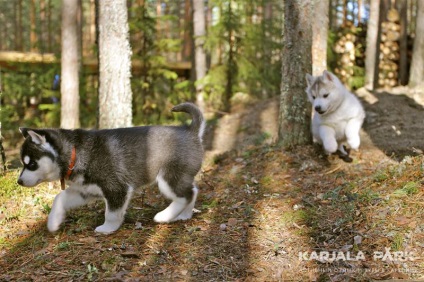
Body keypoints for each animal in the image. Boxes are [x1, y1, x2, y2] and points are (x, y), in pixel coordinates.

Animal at [17, 103, 206, 234]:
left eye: (31, 164)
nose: (19, 182)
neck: (75, 153)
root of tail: (190, 130)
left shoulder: (116, 187)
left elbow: (112, 213)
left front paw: (108, 228)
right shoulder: (85, 190)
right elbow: (59, 198)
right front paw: (53, 221)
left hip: (169, 177)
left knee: (185, 195)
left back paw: (165, 215)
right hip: (181, 176)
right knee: (193, 191)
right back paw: (184, 215)